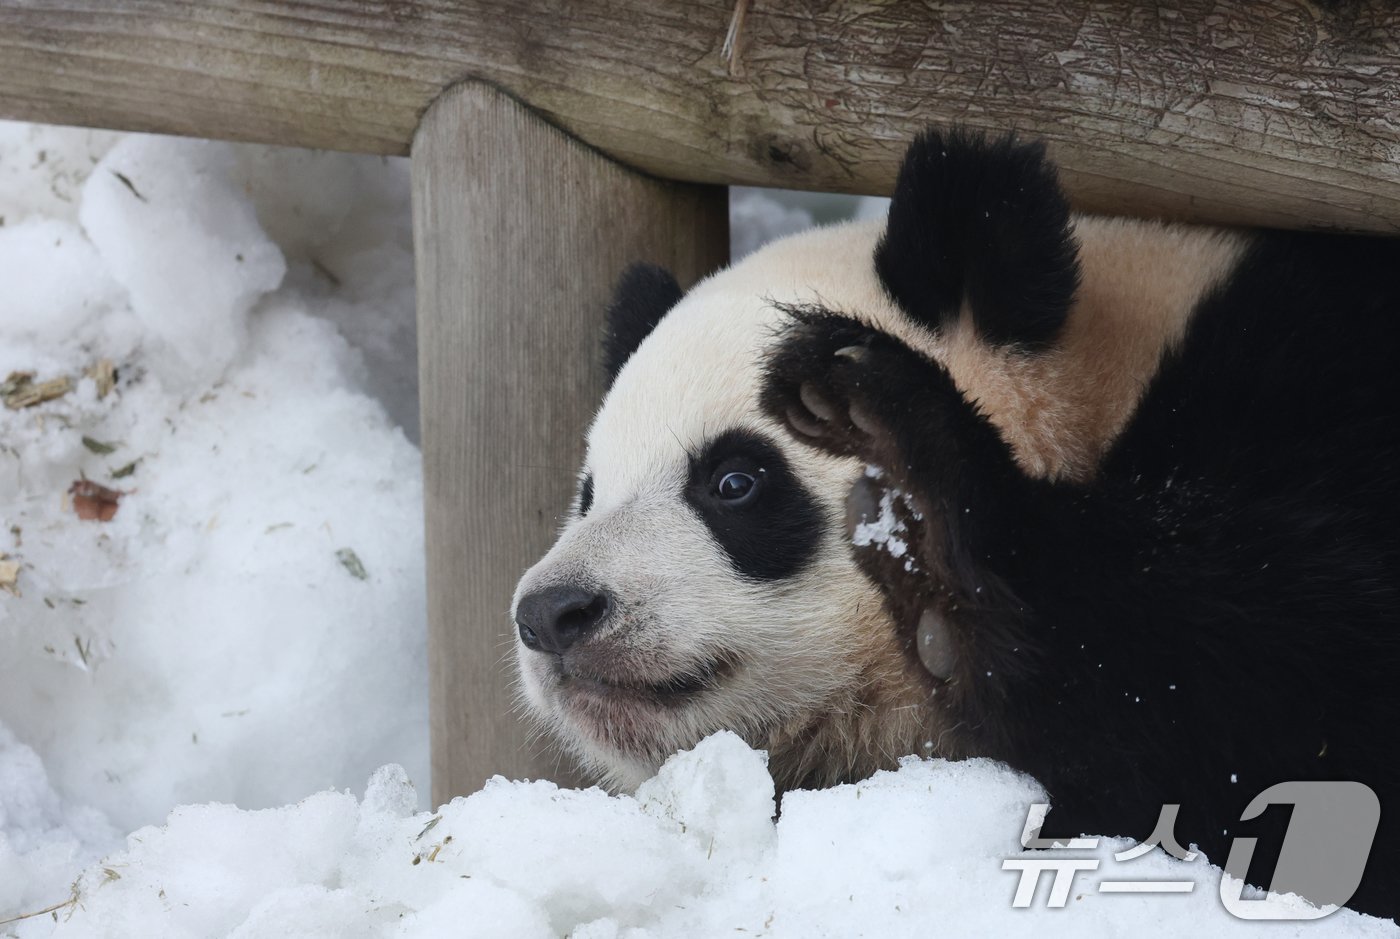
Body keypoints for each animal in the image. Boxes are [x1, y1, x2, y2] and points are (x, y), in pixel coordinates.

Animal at [515, 128, 1400, 912]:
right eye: (588, 490)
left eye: (735, 480)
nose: (554, 613)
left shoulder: (1310, 395)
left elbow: (1291, 685)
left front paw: (917, 482)